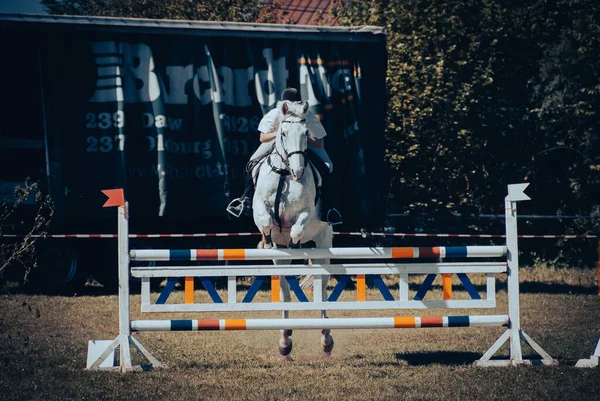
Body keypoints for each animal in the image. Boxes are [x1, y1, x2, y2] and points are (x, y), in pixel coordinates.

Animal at [252, 101, 336, 358]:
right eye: (282, 133)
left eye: (306, 133)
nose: (298, 172)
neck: (284, 174)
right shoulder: (258, 206)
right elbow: (265, 220)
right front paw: (266, 241)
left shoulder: (307, 214)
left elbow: (297, 229)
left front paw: (295, 243)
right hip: (281, 261)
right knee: (284, 288)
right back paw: (285, 340)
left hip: (323, 243)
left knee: (321, 286)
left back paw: (326, 340)